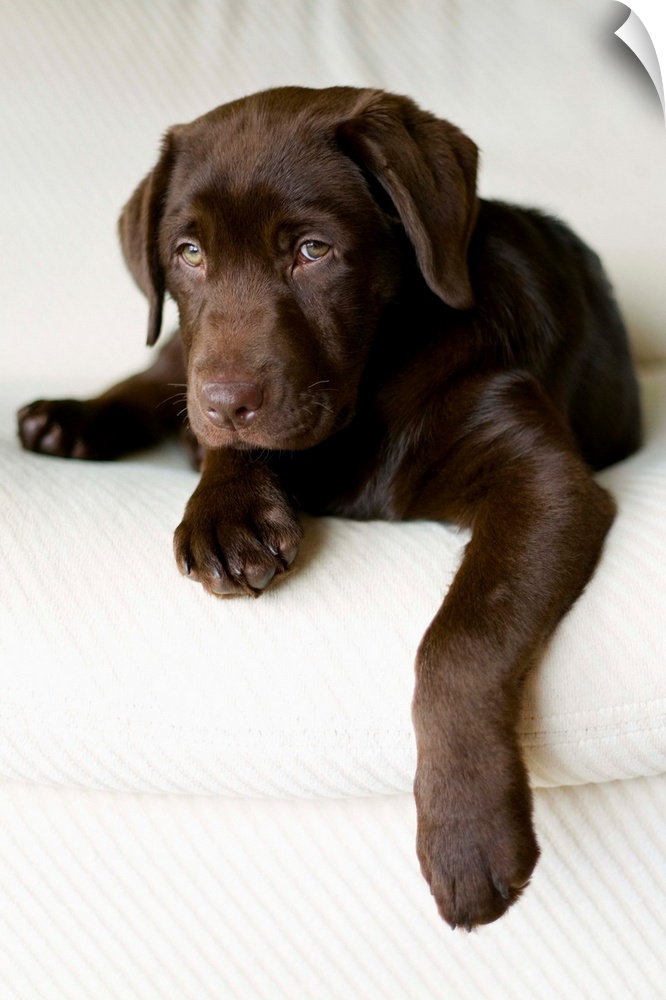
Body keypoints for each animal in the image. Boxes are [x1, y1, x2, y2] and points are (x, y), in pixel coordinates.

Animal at [17, 86, 641, 930]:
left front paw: (468, 836)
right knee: (160, 370)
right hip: (181, 354)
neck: (369, 393)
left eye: (313, 251)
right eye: (190, 254)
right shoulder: (212, 389)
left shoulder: (544, 482)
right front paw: (227, 512)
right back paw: (69, 418)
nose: (226, 404)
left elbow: (460, 641)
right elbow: (214, 440)